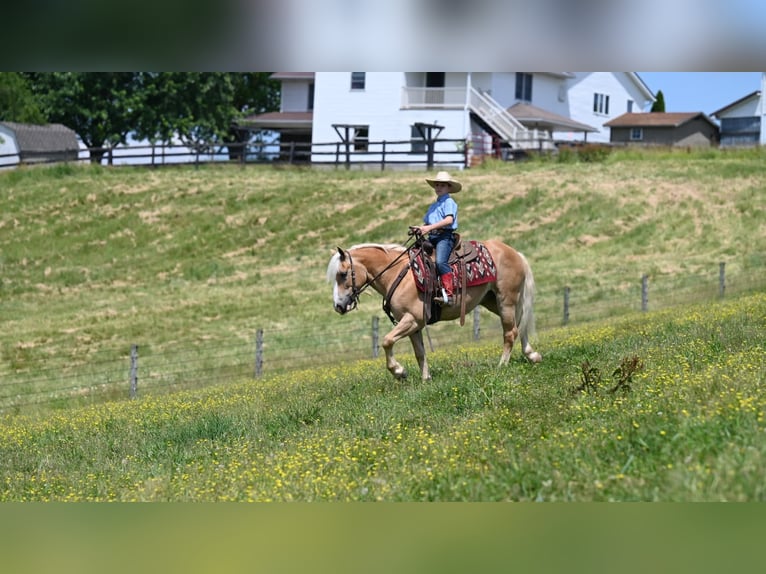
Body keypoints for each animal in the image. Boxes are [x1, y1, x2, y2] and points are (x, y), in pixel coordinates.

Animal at [328, 238, 544, 382]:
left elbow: (387, 341)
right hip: (494, 302)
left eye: (343, 274)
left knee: (510, 332)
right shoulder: (413, 326)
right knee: (520, 325)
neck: (398, 274)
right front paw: (426, 379)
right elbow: (419, 353)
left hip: (506, 300)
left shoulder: (412, 319)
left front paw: (399, 372)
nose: (338, 306)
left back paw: (502, 365)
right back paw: (532, 355)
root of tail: (514, 253)